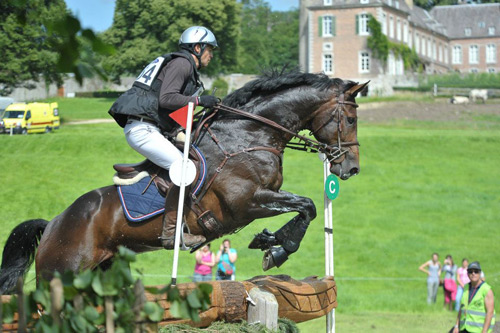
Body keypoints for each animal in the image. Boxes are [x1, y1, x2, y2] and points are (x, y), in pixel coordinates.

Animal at [0, 68, 368, 292]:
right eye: (350, 119)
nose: (351, 169)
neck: (249, 135)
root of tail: (53, 223)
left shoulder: (262, 198)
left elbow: (306, 209)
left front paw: (270, 241)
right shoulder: (247, 201)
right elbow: (307, 206)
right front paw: (276, 249)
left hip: (100, 270)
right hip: (61, 273)